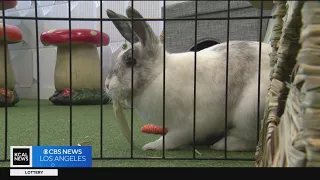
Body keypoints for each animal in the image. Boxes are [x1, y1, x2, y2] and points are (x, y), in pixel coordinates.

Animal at [105, 7, 272, 152]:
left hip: (248, 112)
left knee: (249, 139)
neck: (158, 75)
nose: (106, 85)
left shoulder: (189, 123)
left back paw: (222, 145)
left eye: (130, 61)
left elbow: (171, 139)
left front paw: (152, 146)